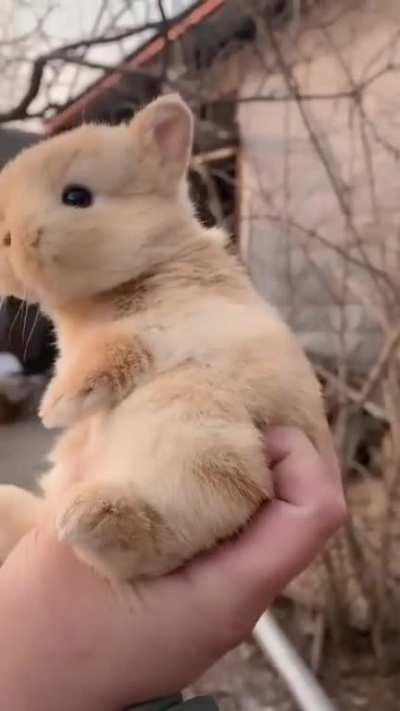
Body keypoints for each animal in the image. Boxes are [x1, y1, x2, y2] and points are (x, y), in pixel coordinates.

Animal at [0, 93, 332, 580]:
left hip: (194, 433)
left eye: (77, 196)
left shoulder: (167, 325)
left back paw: (92, 516)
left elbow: (114, 351)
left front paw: (56, 407)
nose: (5, 237)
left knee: (171, 533)